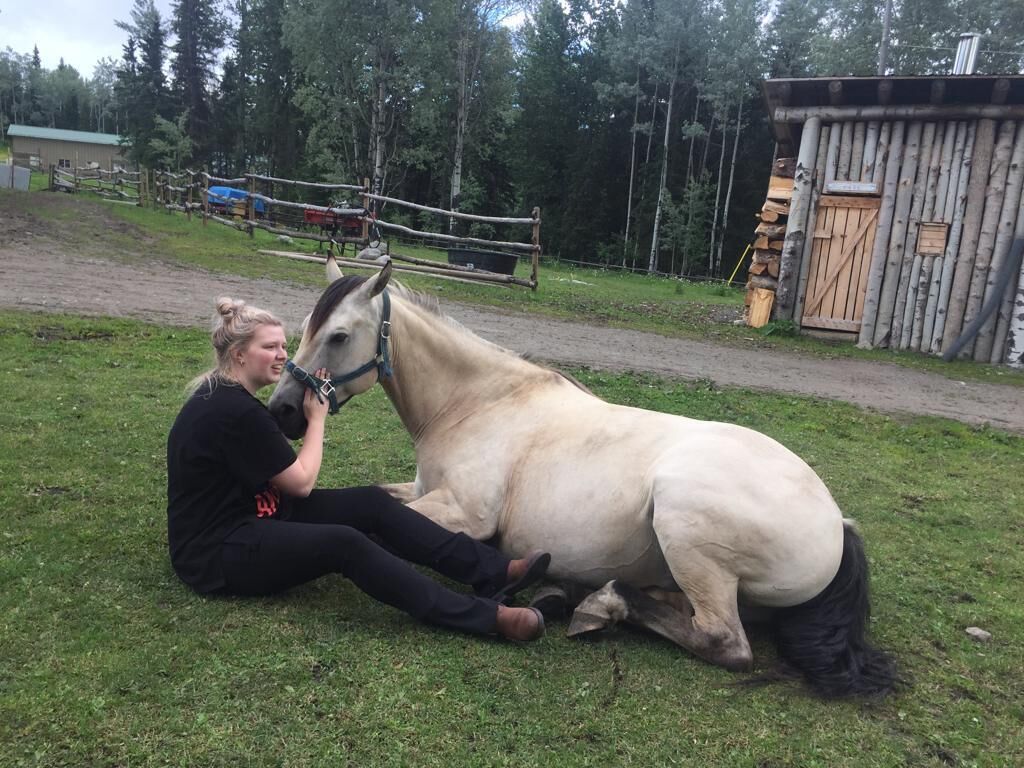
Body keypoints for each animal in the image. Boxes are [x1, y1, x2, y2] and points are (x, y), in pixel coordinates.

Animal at [267, 258, 897, 698]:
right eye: (306, 327)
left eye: (339, 335)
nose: (284, 412)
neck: (477, 404)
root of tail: (837, 523)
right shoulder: (422, 493)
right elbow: (372, 500)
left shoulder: (463, 515)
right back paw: (578, 593)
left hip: (686, 526)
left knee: (725, 641)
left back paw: (601, 604)